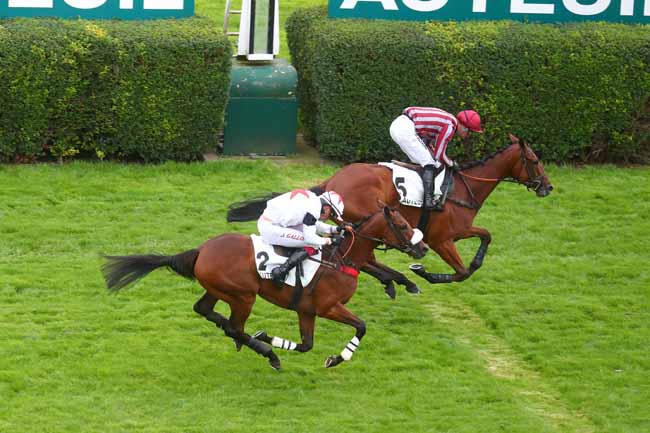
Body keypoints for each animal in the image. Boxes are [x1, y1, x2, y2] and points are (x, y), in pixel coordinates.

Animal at [101, 204, 426, 370]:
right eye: (403, 226)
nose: (422, 248)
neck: (342, 258)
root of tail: (201, 250)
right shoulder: (328, 307)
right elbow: (361, 326)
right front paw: (337, 358)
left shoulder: (307, 310)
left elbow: (306, 344)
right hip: (243, 296)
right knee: (235, 327)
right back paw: (266, 352)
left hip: (219, 290)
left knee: (204, 310)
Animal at [228, 135, 552, 296]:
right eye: (535, 160)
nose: (548, 187)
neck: (462, 188)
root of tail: (333, 180)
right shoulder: (441, 239)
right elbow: (461, 272)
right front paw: (424, 273)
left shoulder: (460, 231)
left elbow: (485, 239)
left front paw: (473, 261)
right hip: (374, 219)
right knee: (365, 256)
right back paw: (398, 280)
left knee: (364, 257)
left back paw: (394, 280)